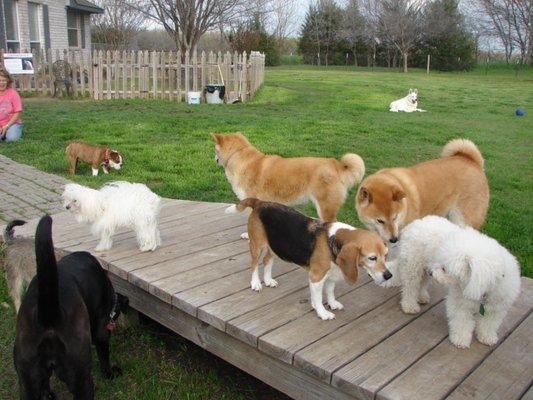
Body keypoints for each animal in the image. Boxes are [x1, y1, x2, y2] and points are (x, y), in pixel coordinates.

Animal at [13, 217, 128, 398]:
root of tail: (49, 315)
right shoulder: (101, 329)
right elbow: (104, 355)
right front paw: (110, 373)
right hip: (80, 374)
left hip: (27, 377)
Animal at [224, 198, 390, 320]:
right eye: (372, 258)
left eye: (386, 255)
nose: (389, 275)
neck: (333, 240)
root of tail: (260, 202)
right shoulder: (316, 277)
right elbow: (318, 297)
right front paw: (322, 312)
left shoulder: (330, 275)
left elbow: (330, 292)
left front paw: (331, 304)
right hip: (257, 246)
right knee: (254, 265)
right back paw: (256, 283)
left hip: (276, 246)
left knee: (267, 261)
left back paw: (268, 280)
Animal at [356, 138, 488, 244]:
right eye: (380, 221)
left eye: (395, 217)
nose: (394, 239)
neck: (405, 207)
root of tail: (472, 161)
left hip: (463, 219)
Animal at [382, 214, 520, 348]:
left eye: (444, 269)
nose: (432, 272)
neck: (484, 291)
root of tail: (414, 223)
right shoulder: (460, 304)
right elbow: (462, 323)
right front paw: (460, 340)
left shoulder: (496, 309)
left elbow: (488, 325)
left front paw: (487, 337)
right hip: (413, 267)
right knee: (410, 288)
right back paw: (410, 306)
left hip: (423, 269)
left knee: (421, 284)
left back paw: (421, 297)